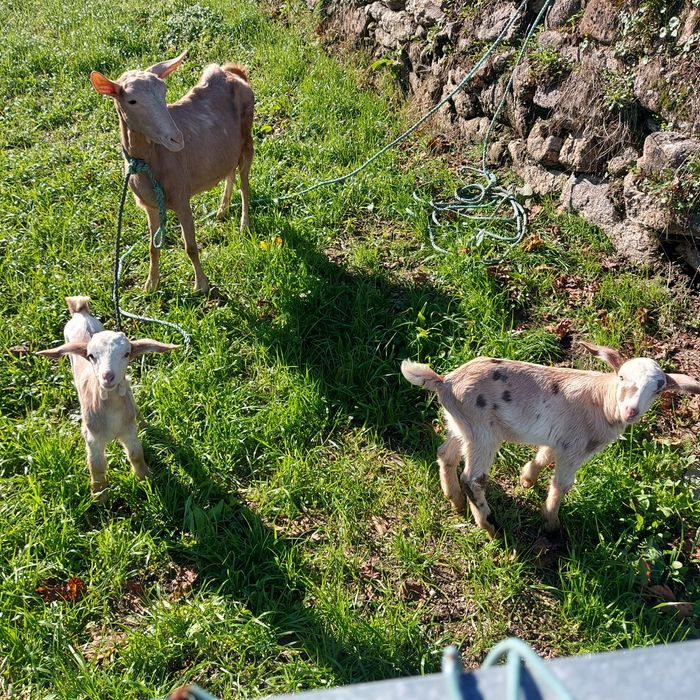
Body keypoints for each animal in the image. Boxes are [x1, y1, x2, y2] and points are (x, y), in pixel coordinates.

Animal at [37, 297, 179, 496]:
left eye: (127, 354)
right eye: (91, 355)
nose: (108, 376)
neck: (110, 409)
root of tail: (81, 312)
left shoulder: (128, 431)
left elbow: (136, 454)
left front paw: (145, 479)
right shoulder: (92, 437)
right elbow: (96, 465)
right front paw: (99, 495)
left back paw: (144, 423)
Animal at [90, 51, 255, 294]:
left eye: (164, 91)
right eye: (131, 101)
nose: (176, 139)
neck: (149, 163)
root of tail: (233, 73)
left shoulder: (180, 197)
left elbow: (190, 246)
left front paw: (201, 285)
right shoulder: (149, 206)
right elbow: (153, 247)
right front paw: (151, 284)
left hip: (247, 136)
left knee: (244, 181)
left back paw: (244, 224)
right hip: (227, 149)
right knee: (230, 171)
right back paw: (222, 210)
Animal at [402, 341, 700, 538]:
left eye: (658, 389)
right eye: (622, 376)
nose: (631, 411)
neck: (602, 402)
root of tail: (445, 382)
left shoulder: (561, 440)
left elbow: (543, 456)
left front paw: (527, 479)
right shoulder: (574, 447)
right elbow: (561, 485)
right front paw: (552, 523)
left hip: (461, 424)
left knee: (446, 454)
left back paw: (455, 500)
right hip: (483, 431)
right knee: (473, 479)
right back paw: (490, 526)